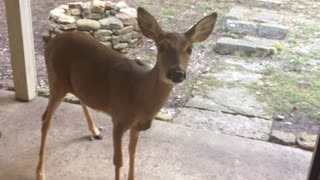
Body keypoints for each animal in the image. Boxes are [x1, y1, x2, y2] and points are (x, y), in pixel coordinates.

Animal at [37, 6, 218, 180]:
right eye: (160, 46)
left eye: (190, 49)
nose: (177, 73)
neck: (140, 93)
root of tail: (50, 43)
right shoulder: (118, 119)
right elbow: (118, 160)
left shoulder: (137, 126)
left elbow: (133, 152)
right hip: (56, 81)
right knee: (45, 119)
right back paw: (40, 173)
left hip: (75, 83)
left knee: (80, 97)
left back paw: (95, 132)